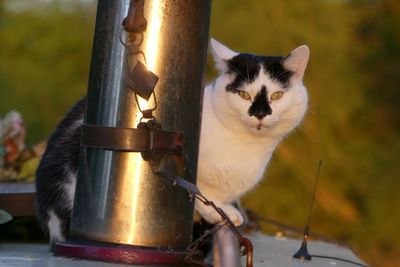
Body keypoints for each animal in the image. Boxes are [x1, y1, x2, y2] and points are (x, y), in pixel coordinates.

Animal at [35, 38, 310, 249]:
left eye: (277, 95)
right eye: (244, 95)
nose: (260, 114)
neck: (245, 145)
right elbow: (201, 191)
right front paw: (218, 211)